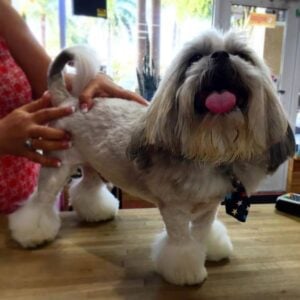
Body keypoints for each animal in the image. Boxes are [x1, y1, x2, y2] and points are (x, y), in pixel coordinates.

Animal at [8, 30, 294, 286]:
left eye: (242, 55)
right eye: (195, 57)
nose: (221, 55)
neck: (210, 146)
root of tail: (69, 101)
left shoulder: (208, 207)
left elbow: (202, 234)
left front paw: (210, 248)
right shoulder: (175, 209)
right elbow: (181, 243)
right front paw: (186, 270)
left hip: (94, 166)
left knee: (86, 189)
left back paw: (97, 211)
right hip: (57, 167)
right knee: (40, 202)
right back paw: (32, 232)